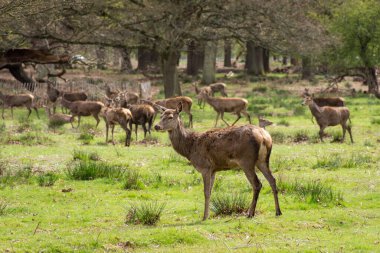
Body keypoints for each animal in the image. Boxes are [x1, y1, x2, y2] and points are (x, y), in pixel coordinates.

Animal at [154, 102, 282, 219]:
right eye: (161, 116)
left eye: (170, 117)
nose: (156, 126)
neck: (189, 148)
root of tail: (265, 137)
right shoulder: (214, 169)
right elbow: (210, 191)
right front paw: (208, 214)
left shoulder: (205, 167)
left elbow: (206, 192)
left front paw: (205, 217)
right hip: (263, 160)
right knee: (272, 180)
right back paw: (278, 211)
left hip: (247, 161)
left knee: (257, 184)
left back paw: (250, 213)